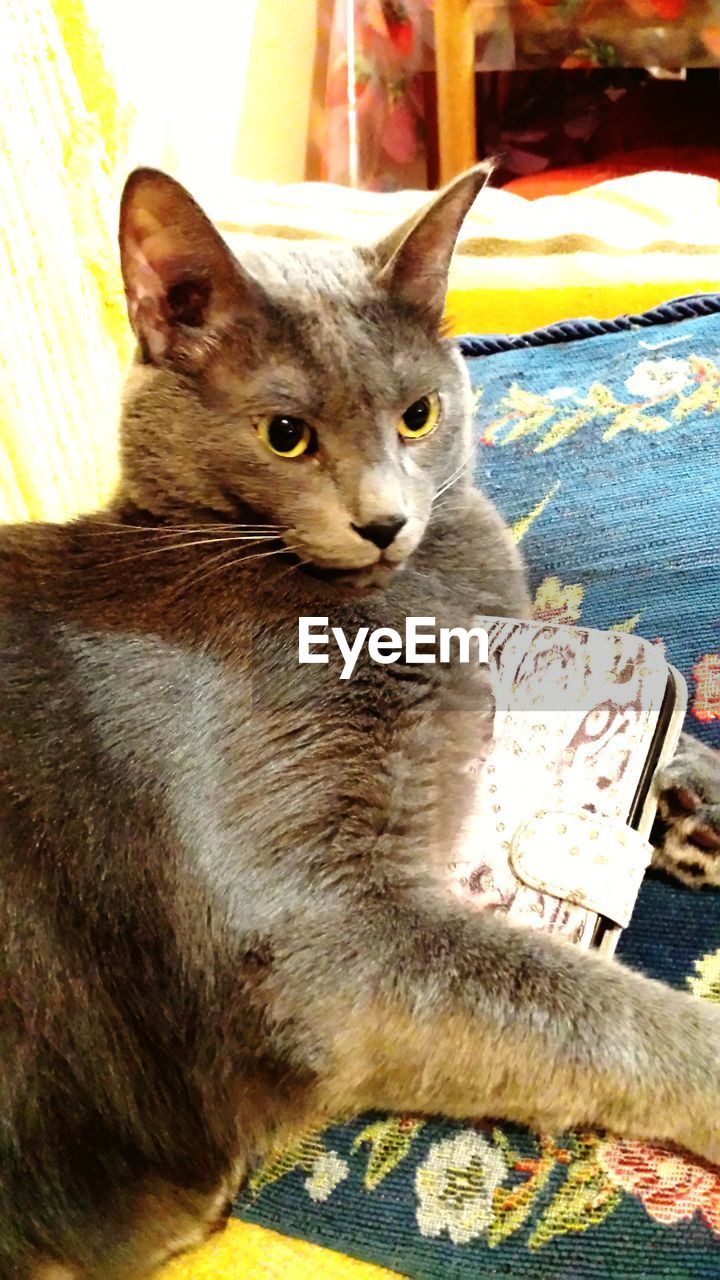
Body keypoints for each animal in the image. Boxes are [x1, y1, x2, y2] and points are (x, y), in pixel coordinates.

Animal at [0, 170, 712, 1280]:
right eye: (286, 434)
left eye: (419, 415)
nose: (385, 520)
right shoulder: (325, 932)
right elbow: (590, 1000)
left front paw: (696, 795)